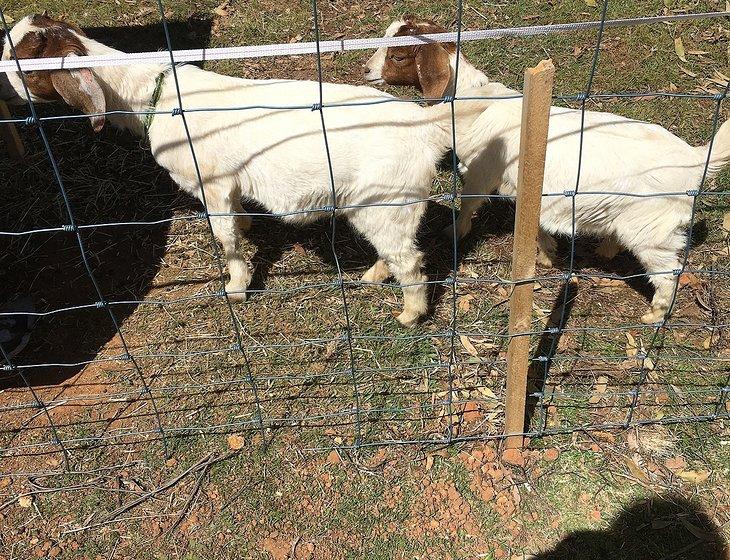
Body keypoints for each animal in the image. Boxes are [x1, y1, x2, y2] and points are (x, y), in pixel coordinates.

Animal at [2, 12, 486, 328]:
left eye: (22, 61)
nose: (3, 83)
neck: (154, 95)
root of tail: (424, 126)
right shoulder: (228, 184)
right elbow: (236, 220)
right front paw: (249, 227)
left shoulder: (210, 181)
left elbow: (225, 238)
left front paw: (236, 286)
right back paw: (374, 276)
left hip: (386, 200)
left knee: (410, 259)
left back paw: (409, 313)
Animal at [364, 15, 728, 324]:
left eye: (398, 56)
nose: (366, 70)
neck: (473, 101)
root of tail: (695, 161)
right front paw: (546, 251)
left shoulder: (482, 170)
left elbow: (468, 202)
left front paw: (453, 232)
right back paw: (607, 248)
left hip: (653, 230)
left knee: (668, 272)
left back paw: (655, 314)